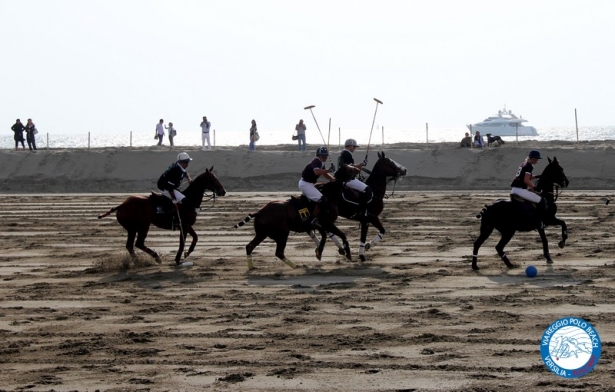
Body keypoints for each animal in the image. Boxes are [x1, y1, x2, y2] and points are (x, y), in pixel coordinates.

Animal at [98, 167, 226, 264]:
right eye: (212, 179)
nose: (223, 191)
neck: (190, 200)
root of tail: (121, 205)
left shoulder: (187, 225)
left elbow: (195, 237)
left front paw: (187, 253)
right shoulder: (184, 225)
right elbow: (182, 242)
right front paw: (178, 259)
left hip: (132, 228)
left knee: (130, 245)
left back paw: (137, 261)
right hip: (143, 226)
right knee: (139, 243)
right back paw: (156, 257)